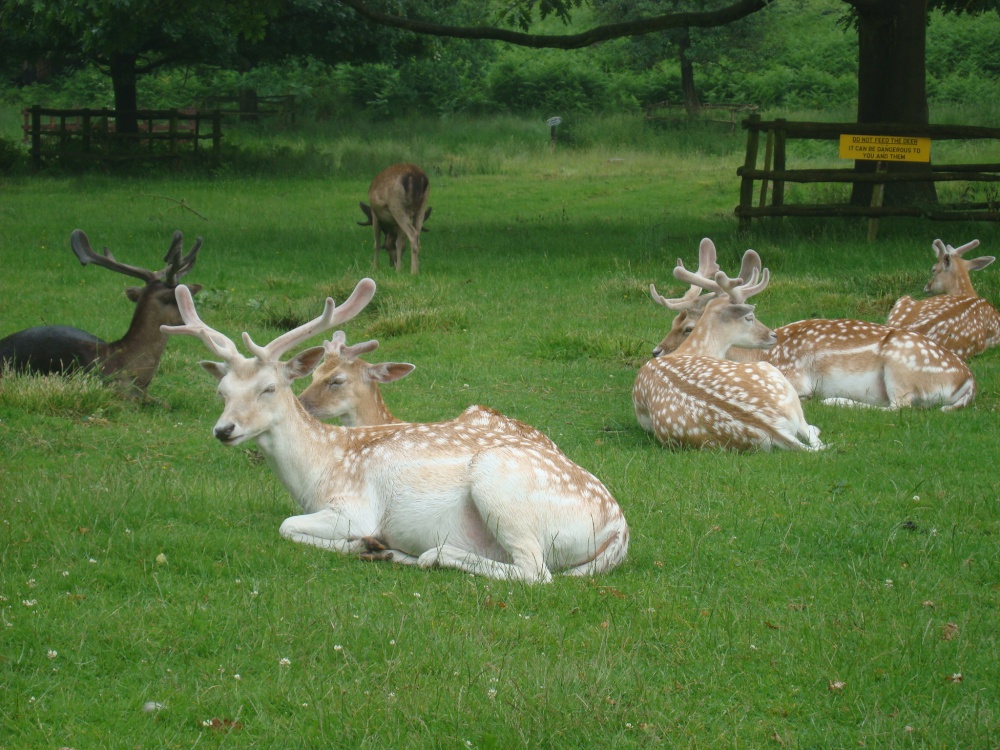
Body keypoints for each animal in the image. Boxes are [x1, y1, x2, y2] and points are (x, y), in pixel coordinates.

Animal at [165, 280, 628, 580]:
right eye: (222, 390)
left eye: (269, 388)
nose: (224, 429)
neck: (317, 473)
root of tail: (619, 531)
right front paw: (368, 547)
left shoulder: (354, 507)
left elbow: (286, 526)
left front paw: (363, 542)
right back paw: (390, 553)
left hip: (500, 485)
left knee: (535, 572)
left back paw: (429, 555)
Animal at [644, 239, 972, 412]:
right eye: (674, 321)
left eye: (688, 328)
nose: (656, 351)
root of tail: (966, 378)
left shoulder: (795, 377)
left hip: (901, 366)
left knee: (899, 405)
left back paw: (835, 400)